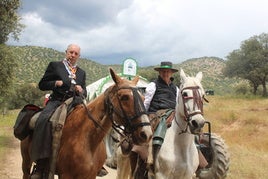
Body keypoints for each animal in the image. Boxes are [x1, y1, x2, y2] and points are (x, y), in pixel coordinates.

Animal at [19, 68, 152, 179]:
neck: (87, 140)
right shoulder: (66, 176)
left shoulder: (90, 175)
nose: (147, 134)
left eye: (143, 98)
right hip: (26, 162)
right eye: (124, 97)